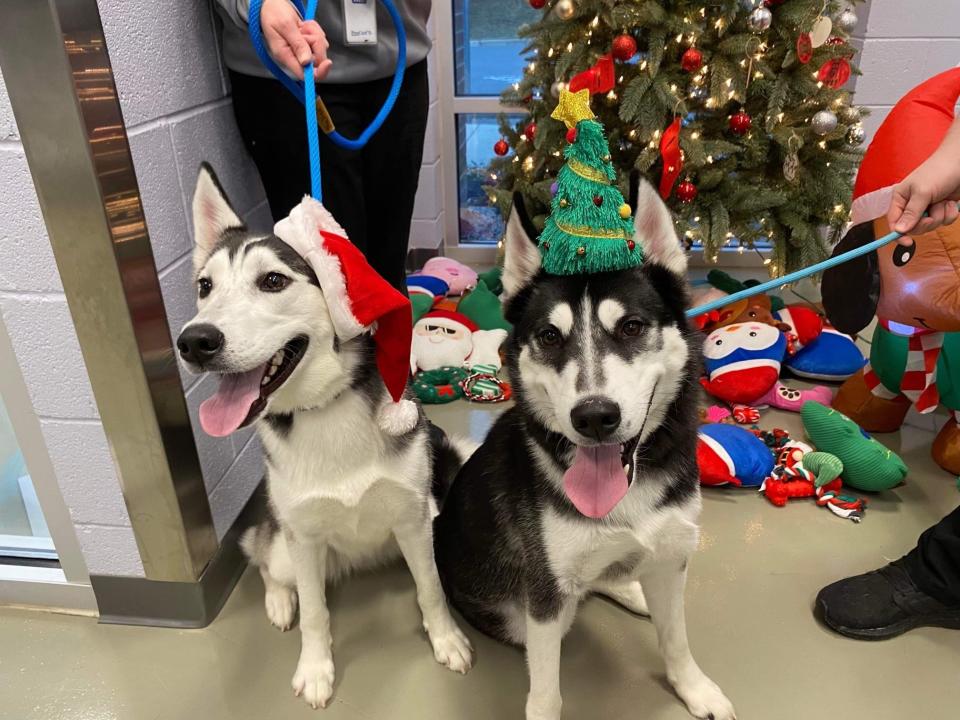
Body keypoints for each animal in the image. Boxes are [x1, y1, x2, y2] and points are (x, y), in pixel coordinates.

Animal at [176, 165, 472, 708]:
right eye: (205, 286)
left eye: (273, 280)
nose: (194, 341)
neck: (326, 409)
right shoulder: (304, 538)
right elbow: (316, 613)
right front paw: (315, 669)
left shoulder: (414, 521)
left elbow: (431, 589)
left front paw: (445, 639)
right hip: (285, 548)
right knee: (263, 558)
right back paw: (278, 600)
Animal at [436, 176, 736, 720]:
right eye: (549, 336)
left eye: (632, 327)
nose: (595, 416)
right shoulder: (544, 596)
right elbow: (546, 689)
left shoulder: (674, 560)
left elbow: (677, 640)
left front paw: (694, 689)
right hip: (516, 608)